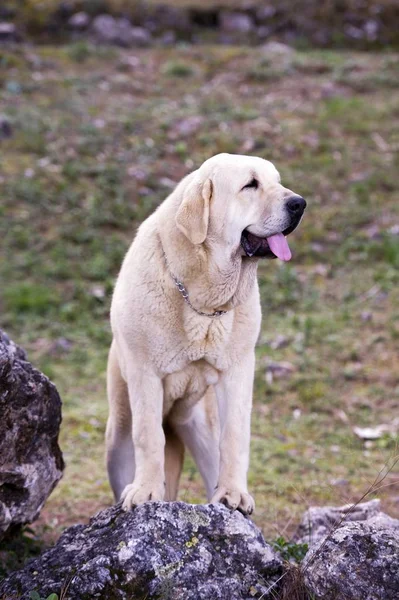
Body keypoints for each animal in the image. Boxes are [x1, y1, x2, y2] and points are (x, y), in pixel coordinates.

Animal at [105, 152, 306, 512]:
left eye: (277, 181)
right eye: (250, 185)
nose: (299, 203)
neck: (202, 302)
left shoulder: (238, 372)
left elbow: (236, 435)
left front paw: (233, 494)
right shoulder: (144, 375)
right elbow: (148, 436)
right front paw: (145, 491)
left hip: (201, 427)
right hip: (118, 432)